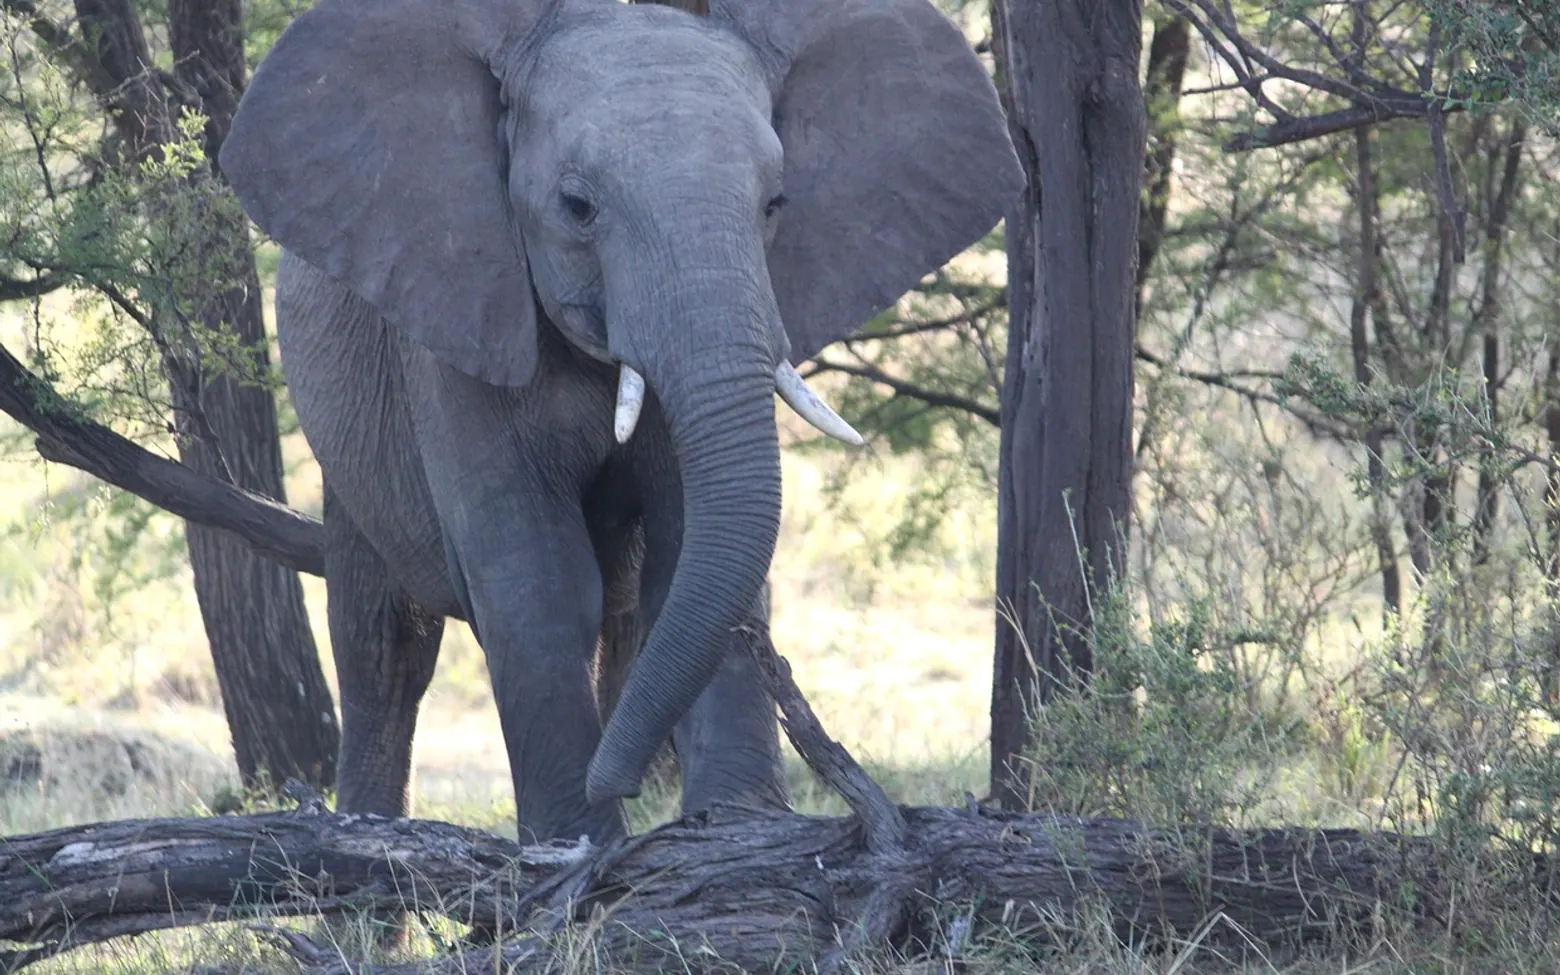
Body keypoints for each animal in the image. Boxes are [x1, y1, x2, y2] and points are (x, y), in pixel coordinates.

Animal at [219, 0, 1022, 844]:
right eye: (578, 207)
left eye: (774, 206)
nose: (625, 785)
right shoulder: (458, 323)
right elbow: (535, 579)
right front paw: (579, 841)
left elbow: (685, 555)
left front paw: (734, 827)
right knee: (385, 646)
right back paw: (366, 850)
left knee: (625, 615)